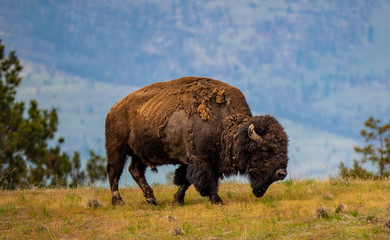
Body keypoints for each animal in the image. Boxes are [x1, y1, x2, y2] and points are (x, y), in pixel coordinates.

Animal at [105, 76, 288, 204]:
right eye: (265, 149)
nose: (282, 173)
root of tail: (114, 109)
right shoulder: (200, 159)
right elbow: (205, 180)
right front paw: (218, 201)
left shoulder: (201, 160)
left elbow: (186, 180)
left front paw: (177, 200)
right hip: (116, 149)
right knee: (114, 172)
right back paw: (118, 202)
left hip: (140, 154)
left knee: (135, 170)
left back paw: (151, 199)